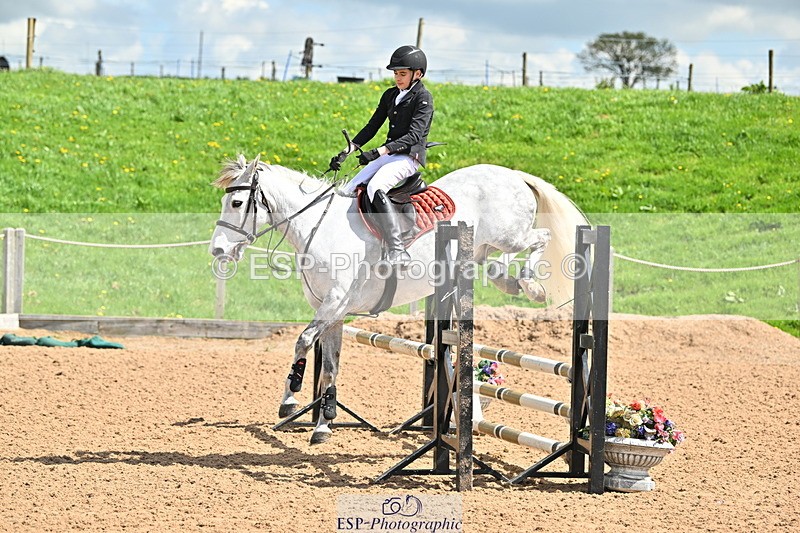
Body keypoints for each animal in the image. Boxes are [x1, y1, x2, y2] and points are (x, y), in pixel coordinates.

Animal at [209, 155, 589, 444]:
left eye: (237, 203)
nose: (218, 250)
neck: (320, 228)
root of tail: (514, 175)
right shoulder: (332, 312)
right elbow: (330, 367)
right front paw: (323, 425)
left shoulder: (334, 303)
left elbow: (302, 341)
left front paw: (289, 400)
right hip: (482, 247)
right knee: (495, 262)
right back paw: (511, 280)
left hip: (509, 235)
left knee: (540, 237)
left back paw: (530, 284)